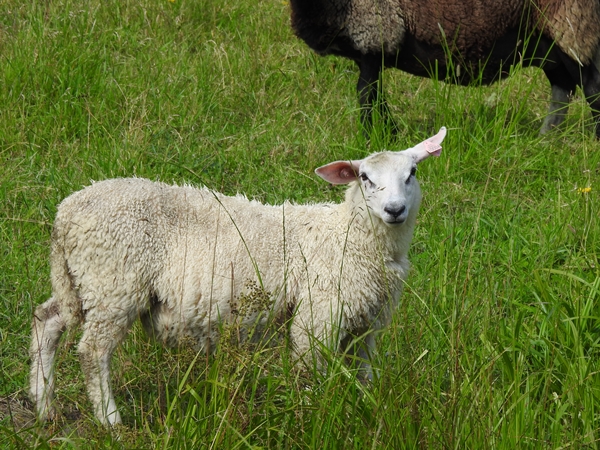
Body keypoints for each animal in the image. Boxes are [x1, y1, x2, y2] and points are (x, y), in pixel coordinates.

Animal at [30, 126, 448, 426]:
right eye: (364, 178)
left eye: (412, 173)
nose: (394, 210)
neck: (349, 236)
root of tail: (66, 212)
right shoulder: (319, 315)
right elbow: (309, 370)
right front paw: (312, 416)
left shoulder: (368, 322)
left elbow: (364, 375)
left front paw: (366, 410)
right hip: (114, 281)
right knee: (93, 351)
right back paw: (110, 421)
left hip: (83, 281)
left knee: (47, 320)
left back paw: (43, 404)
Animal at [292, 0, 600, 138]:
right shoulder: (371, 53)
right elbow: (376, 96)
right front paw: (391, 135)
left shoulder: (374, 35)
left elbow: (366, 96)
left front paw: (372, 140)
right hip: (548, 43)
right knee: (563, 88)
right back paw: (544, 138)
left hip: (573, 26)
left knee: (591, 87)